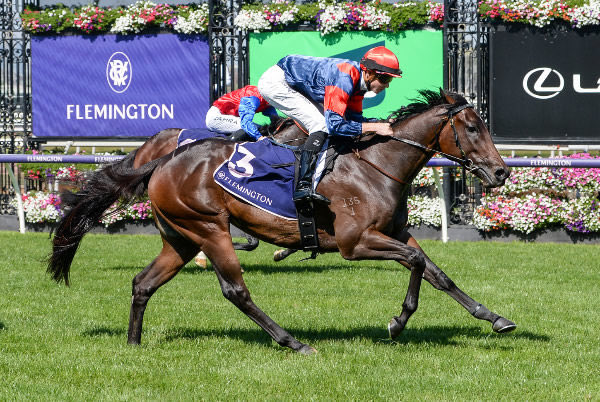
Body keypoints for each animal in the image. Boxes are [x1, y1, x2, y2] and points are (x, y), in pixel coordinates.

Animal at [48, 89, 516, 354]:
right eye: (472, 127)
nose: (501, 172)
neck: (376, 165)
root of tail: (162, 160)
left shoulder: (394, 233)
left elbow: (437, 272)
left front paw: (493, 317)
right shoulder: (356, 242)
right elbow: (418, 265)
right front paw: (397, 323)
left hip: (180, 238)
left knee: (142, 283)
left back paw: (133, 345)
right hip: (208, 227)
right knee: (235, 290)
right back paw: (293, 341)